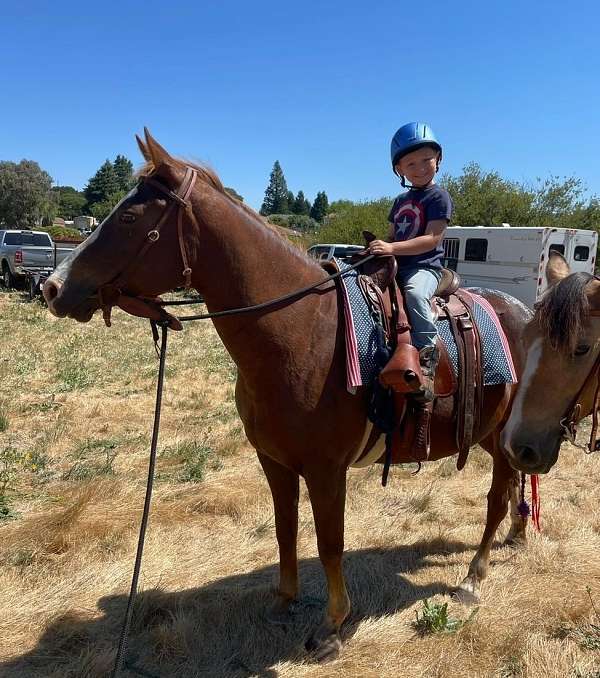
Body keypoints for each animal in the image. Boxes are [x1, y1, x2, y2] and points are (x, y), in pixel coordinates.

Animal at [47, 130, 532, 660]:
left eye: (130, 218)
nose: (52, 287)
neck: (302, 330)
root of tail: (526, 311)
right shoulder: (274, 461)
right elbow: (285, 529)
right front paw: (284, 601)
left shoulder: (326, 470)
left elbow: (329, 543)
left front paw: (332, 626)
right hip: (492, 436)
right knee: (513, 486)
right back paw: (516, 534)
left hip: (503, 436)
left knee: (497, 497)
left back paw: (473, 579)